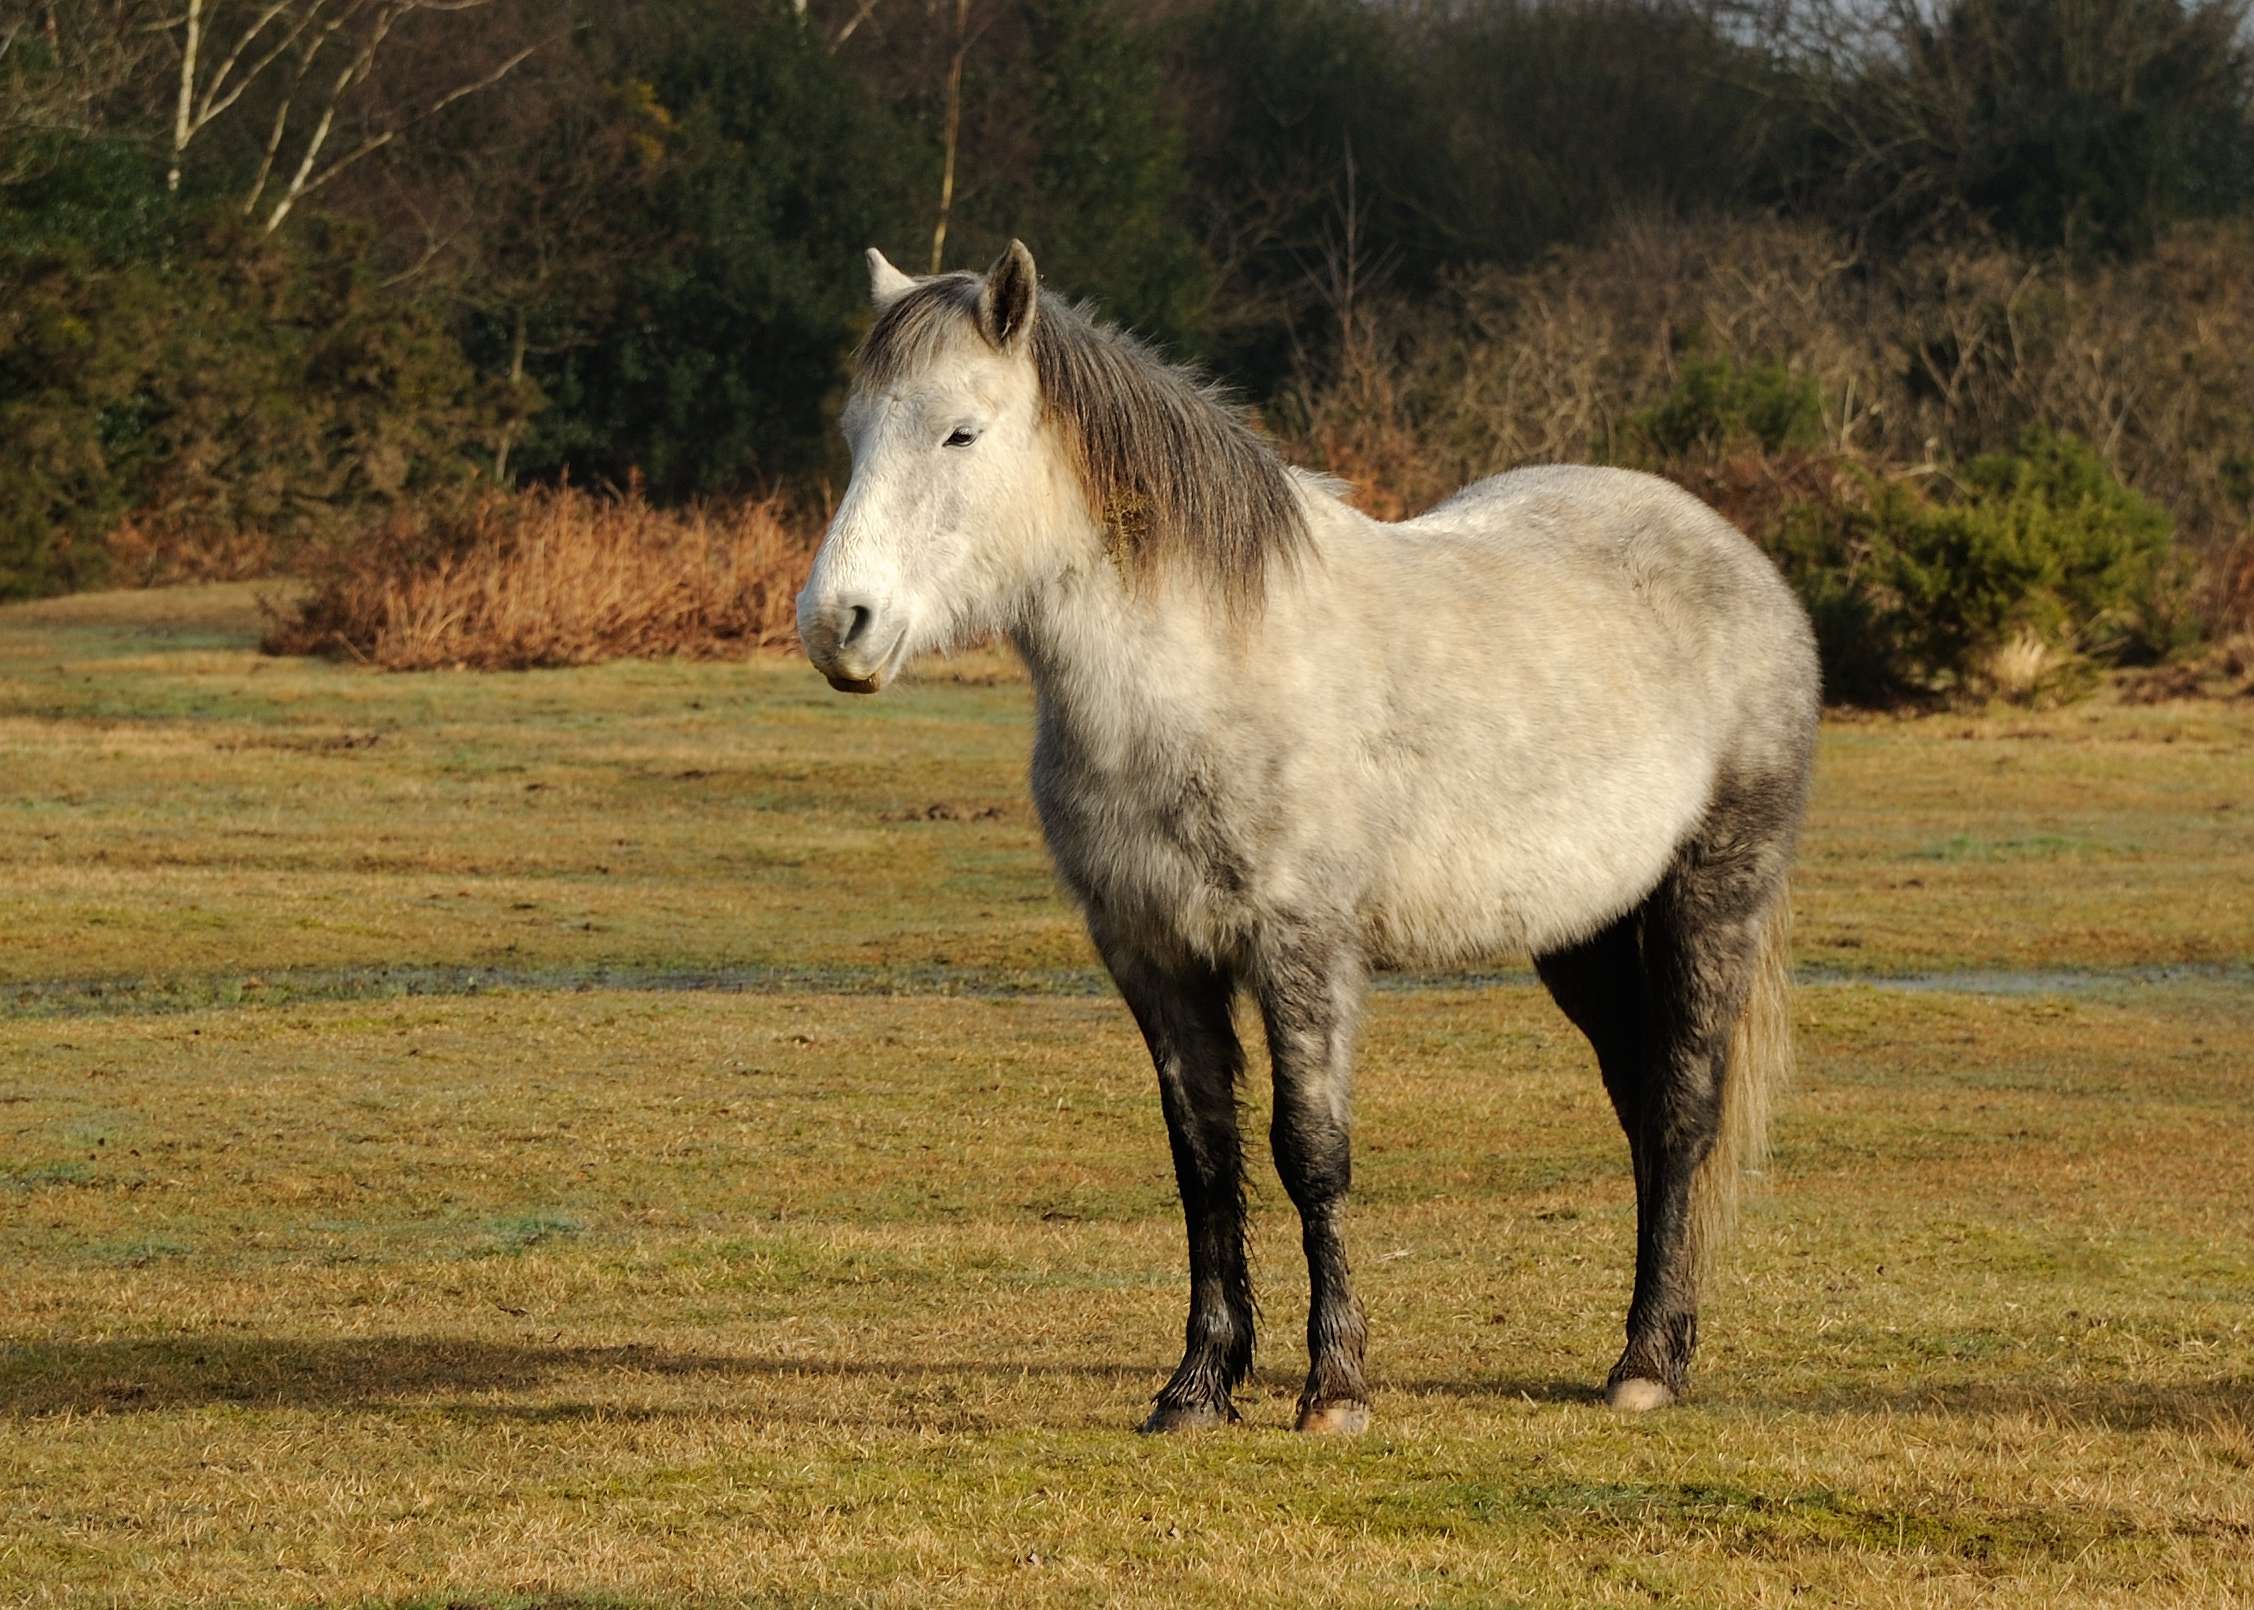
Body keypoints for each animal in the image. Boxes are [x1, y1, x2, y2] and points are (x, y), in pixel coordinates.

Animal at [797, 240, 1820, 1434]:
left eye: (961, 432)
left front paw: (1333, 1387)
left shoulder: (1302, 948)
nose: (838, 625)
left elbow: (1308, 1153)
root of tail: (1738, 558)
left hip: (1713, 894)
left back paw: (1647, 1365)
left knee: (1681, 1110)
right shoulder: (1153, 956)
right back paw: (1660, 1346)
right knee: (1641, 1107)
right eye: (854, 431)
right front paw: (1198, 1384)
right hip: (1589, 936)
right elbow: (1203, 1156)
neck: (1205, 665)